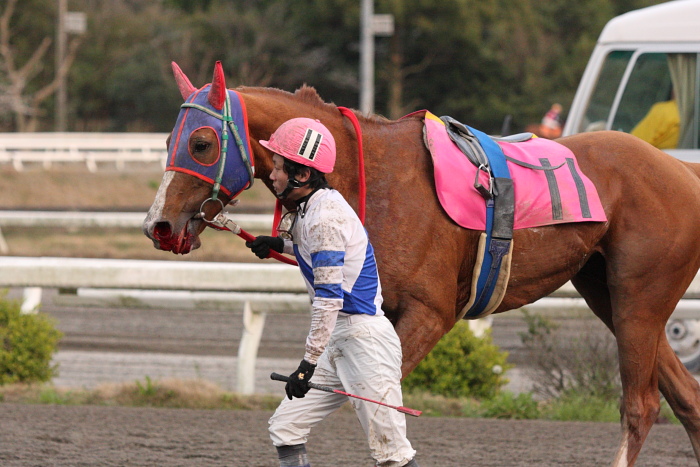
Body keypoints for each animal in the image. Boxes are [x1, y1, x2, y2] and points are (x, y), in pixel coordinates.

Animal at [144, 62, 700, 467]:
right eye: (168, 142)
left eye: (201, 143)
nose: (159, 225)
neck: (369, 176)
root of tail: (681, 169)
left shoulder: (431, 314)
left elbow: (378, 417)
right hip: (608, 295)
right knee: (686, 398)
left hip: (639, 299)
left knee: (642, 406)